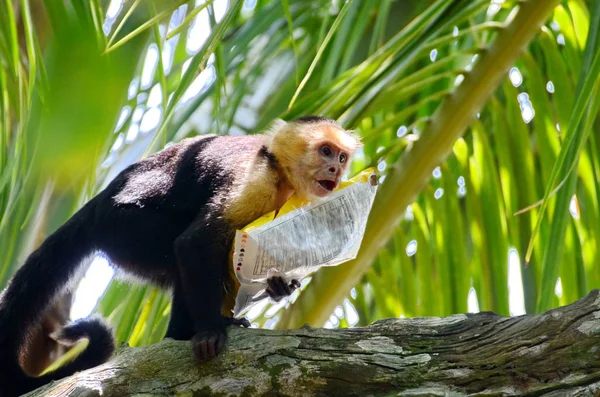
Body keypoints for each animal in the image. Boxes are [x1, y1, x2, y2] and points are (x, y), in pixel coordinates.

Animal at [0, 116, 360, 394]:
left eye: (342, 157)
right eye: (325, 151)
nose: (334, 168)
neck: (284, 177)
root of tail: (100, 201)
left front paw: (278, 285)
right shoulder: (255, 181)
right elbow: (194, 243)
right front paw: (211, 329)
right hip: (123, 226)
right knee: (186, 251)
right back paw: (187, 334)